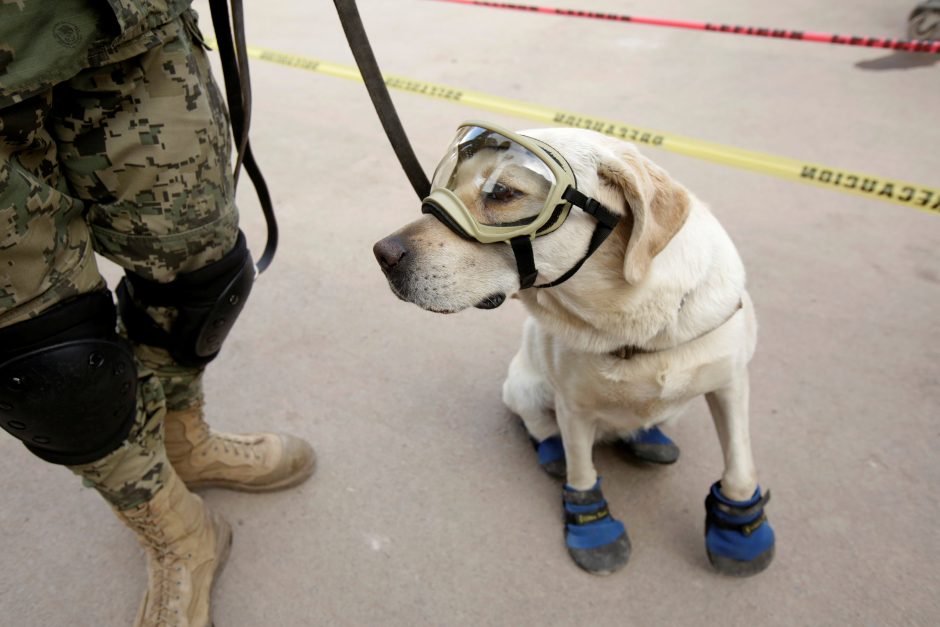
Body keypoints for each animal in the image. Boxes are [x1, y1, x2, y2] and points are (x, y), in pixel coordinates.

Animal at [370, 124, 776, 580]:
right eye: (450, 183)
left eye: (502, 192)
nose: (382, 253)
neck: (637, 328)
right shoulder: (574, 408)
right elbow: (582, 472)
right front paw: (593, 529)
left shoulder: (731, 384)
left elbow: (740, 464)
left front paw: (739, 529)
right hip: (523, 387)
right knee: (537, 424)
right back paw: (553, 452)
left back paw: (650, 440)